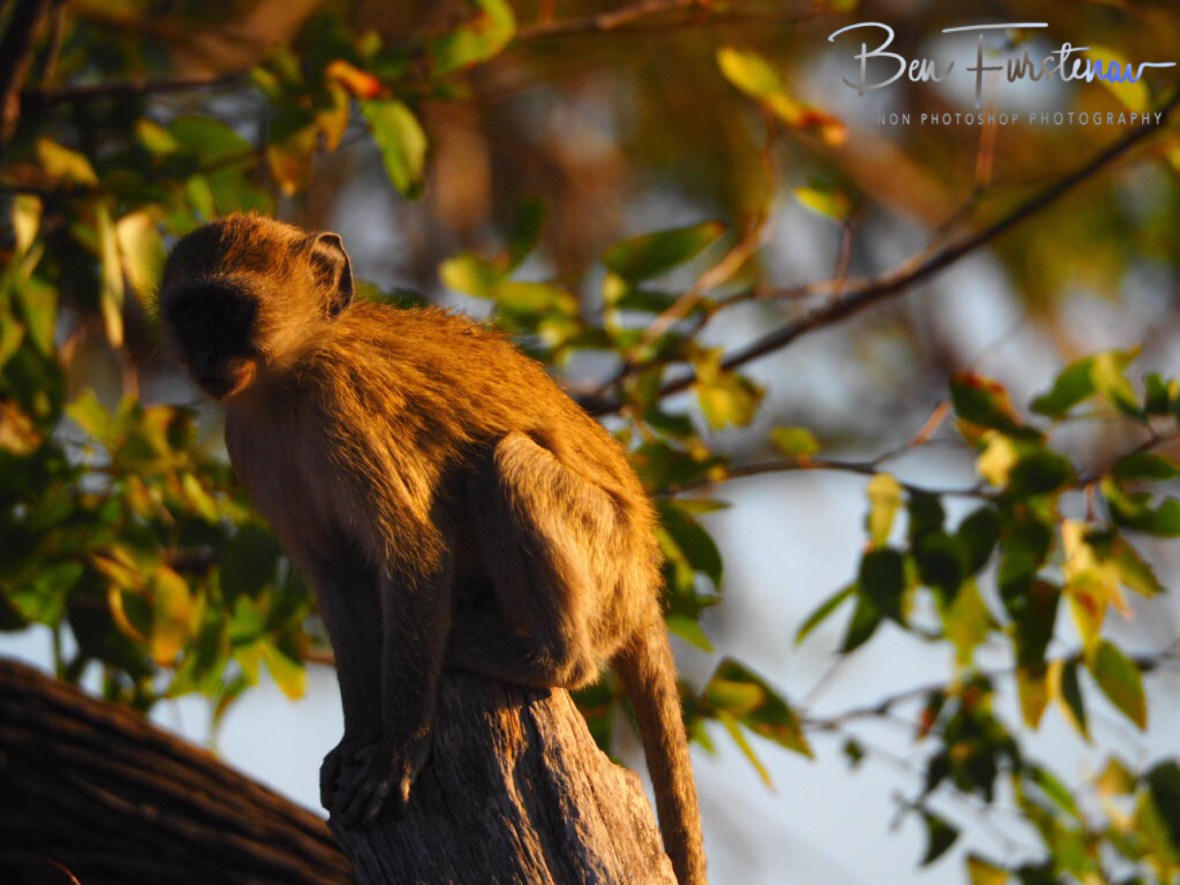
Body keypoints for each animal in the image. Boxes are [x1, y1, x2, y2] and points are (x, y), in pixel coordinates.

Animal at [157, 213, 706, 885]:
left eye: (230, 309)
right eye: (191, 315)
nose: (208, 359)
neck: (289, 382)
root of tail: (647, 579)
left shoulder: (345, 407)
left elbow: (414, 556)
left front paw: (398, 748)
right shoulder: (252, 445)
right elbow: (337, 577)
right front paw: (358, 738)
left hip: (607, 553)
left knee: (510, 466)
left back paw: (543, 657)